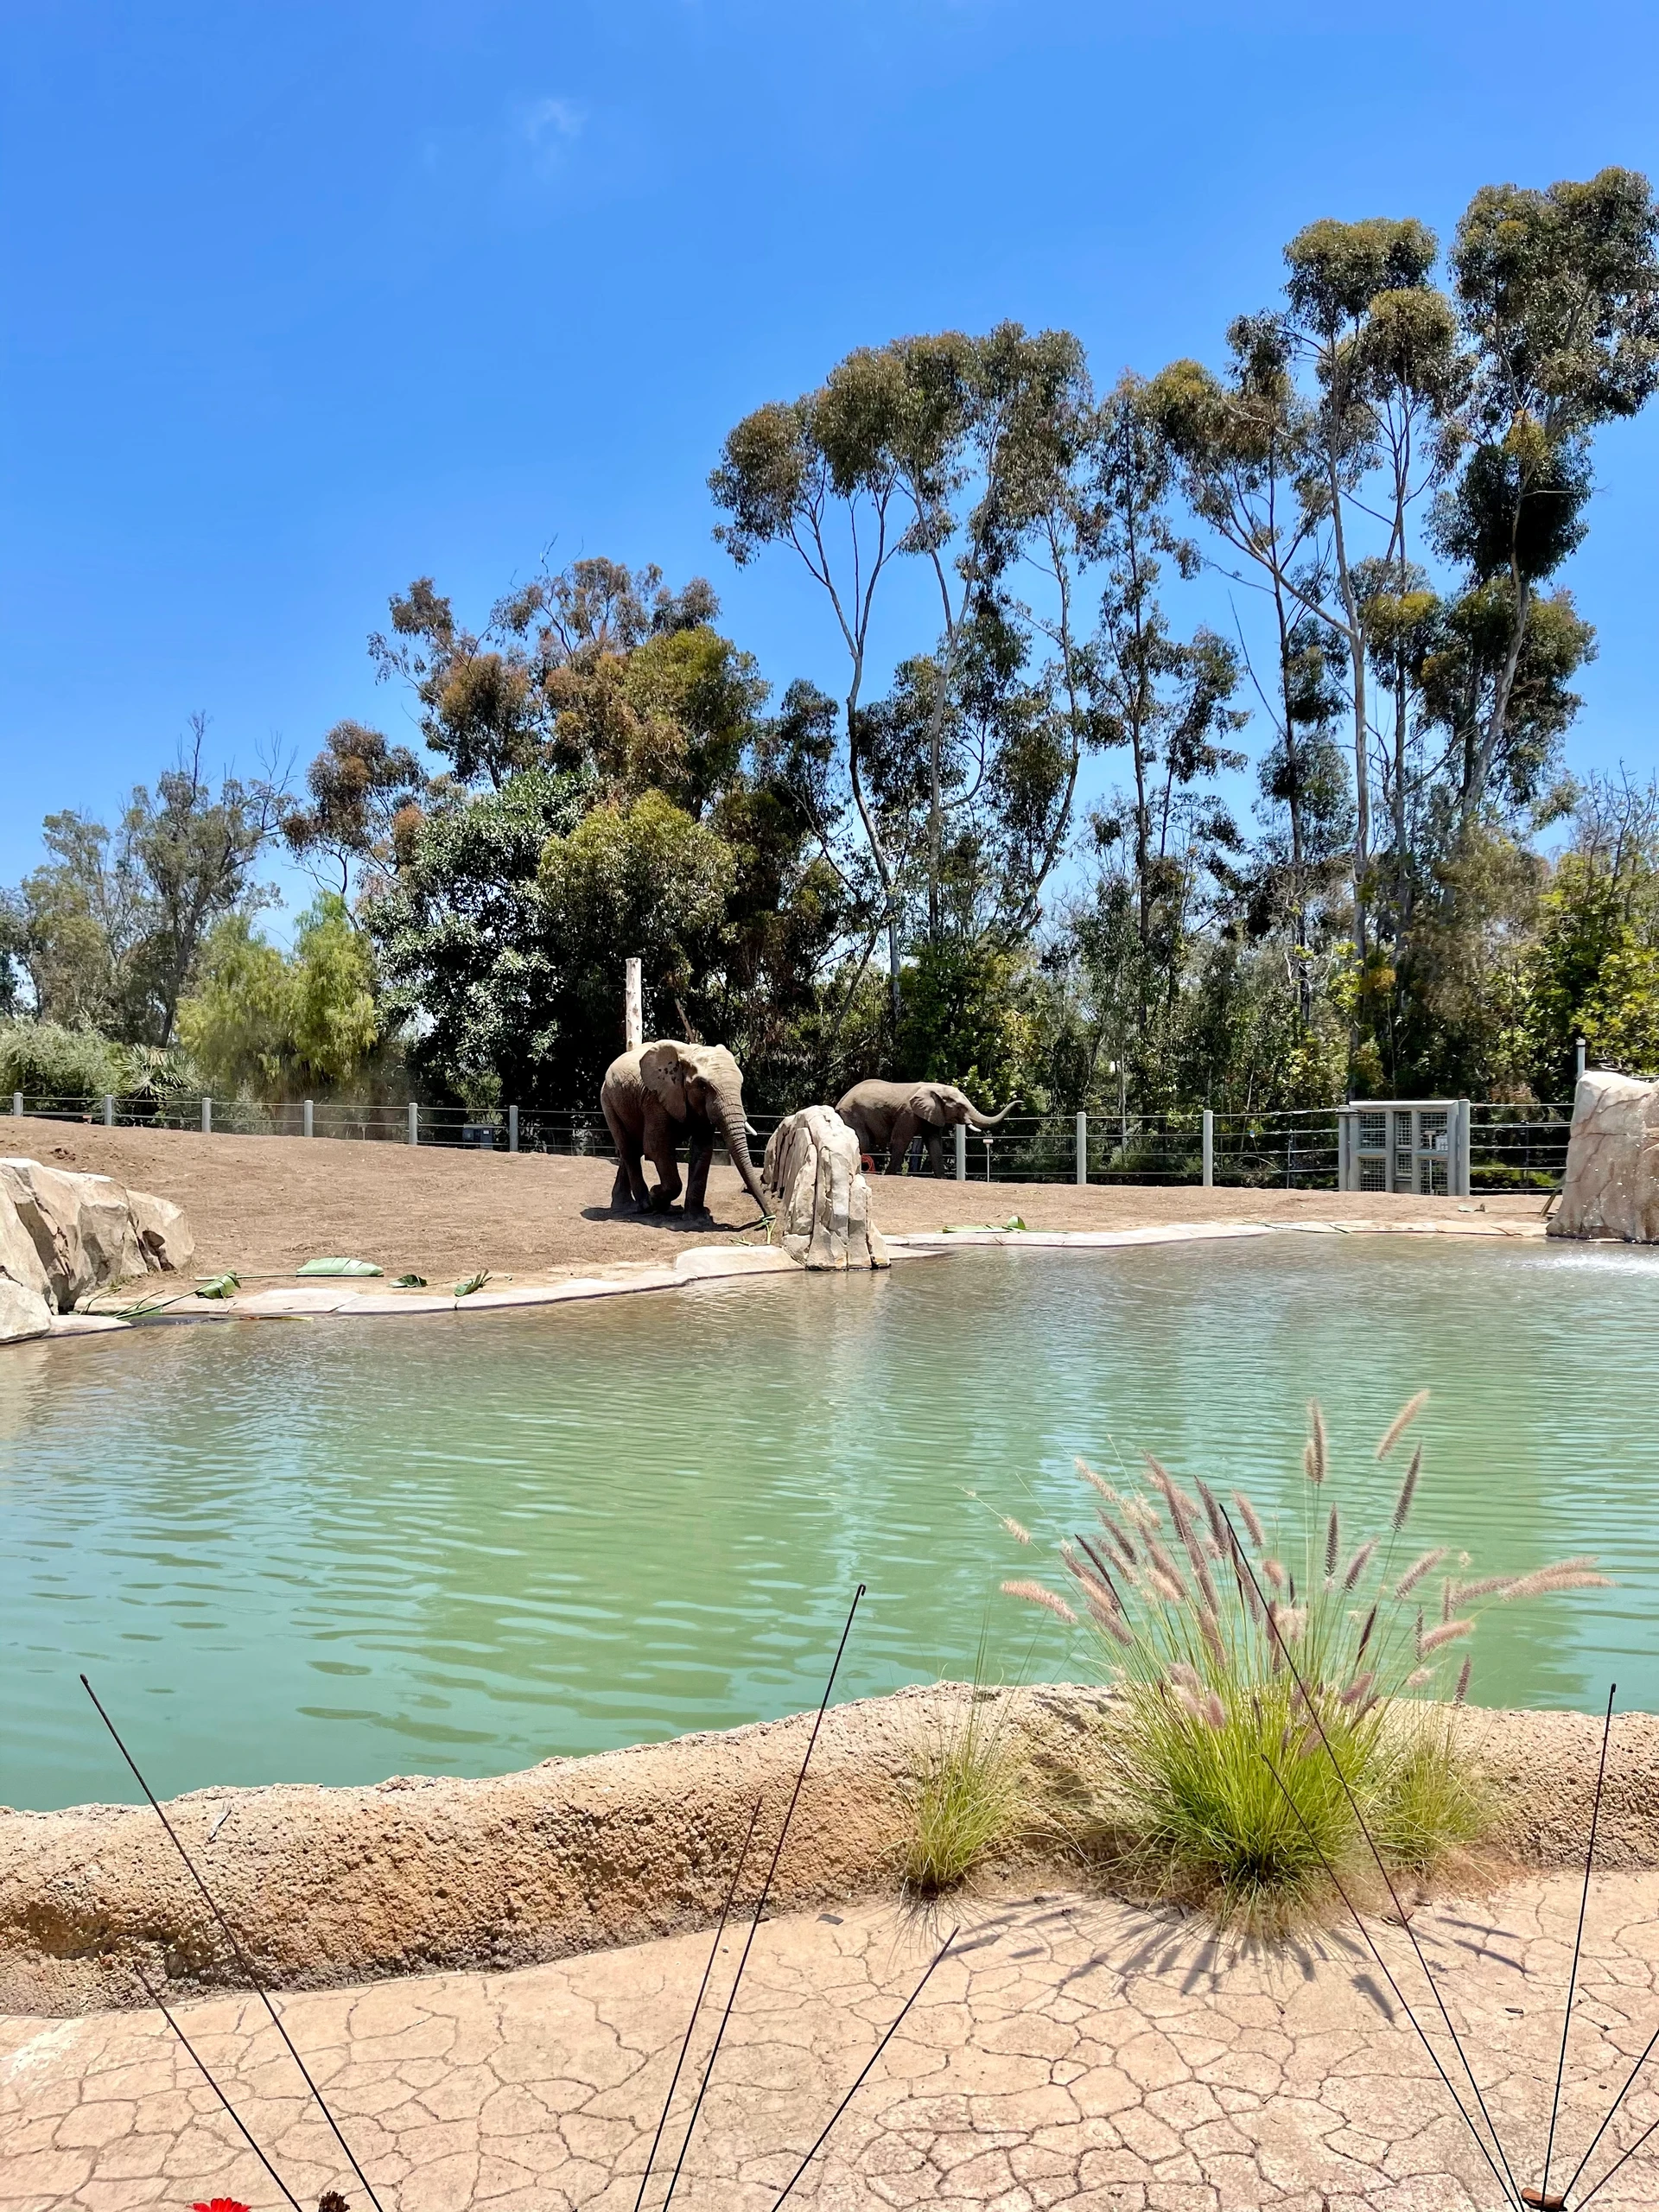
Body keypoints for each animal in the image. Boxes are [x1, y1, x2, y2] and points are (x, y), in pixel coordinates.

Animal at [601, 1040, 769, 1217]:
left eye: (741, 1084)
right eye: (702, 1086)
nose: (768, 1216)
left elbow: (702, 1149)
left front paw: (696, 1217)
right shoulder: (655, 1098)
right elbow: (656, 1147)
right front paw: (655, 1195)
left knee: (633, 1148)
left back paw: (626, 1205)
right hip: (608, 1101)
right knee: (629, 1149)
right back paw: (644, 1206)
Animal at [834, 1079, 1017, 1176]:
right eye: (960, 1107)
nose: (1019, 1101)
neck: (936, 1087)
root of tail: (839, 1102)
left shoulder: (934, 1114)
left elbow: (935, 1145)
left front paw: (943, 1179)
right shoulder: (908, 1113)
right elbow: (900, 1141)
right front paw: (890, 1175)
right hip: (852, 1114)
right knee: (863, 1142)